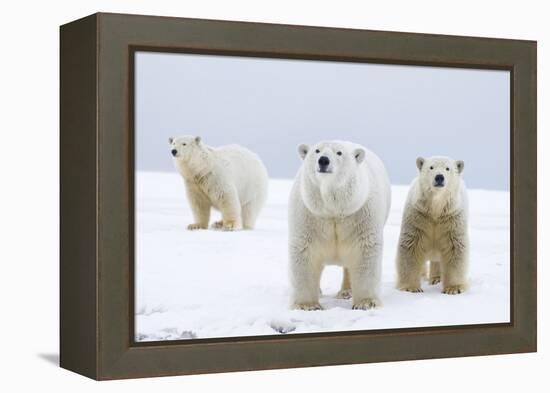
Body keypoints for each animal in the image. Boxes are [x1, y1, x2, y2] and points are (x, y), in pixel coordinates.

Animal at [288, 141, 392, 310]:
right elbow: (305, 250)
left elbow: (364, 250)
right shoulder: (309, 214)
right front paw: (308, 305)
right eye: (317, 151)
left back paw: (346, 292)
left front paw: (366, 303)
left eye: (339, 153)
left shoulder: (360, 213)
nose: (323, 160)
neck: (334, 211)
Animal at [396, 156, 470, 294]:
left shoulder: (452, 219)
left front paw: (453, 289)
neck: (436, 210)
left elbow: (454, 248)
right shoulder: (419, 216)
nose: (439, 177)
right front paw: (411, 287)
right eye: (431, 167)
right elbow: (411, 247)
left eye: (447, 168)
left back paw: (436, 279)